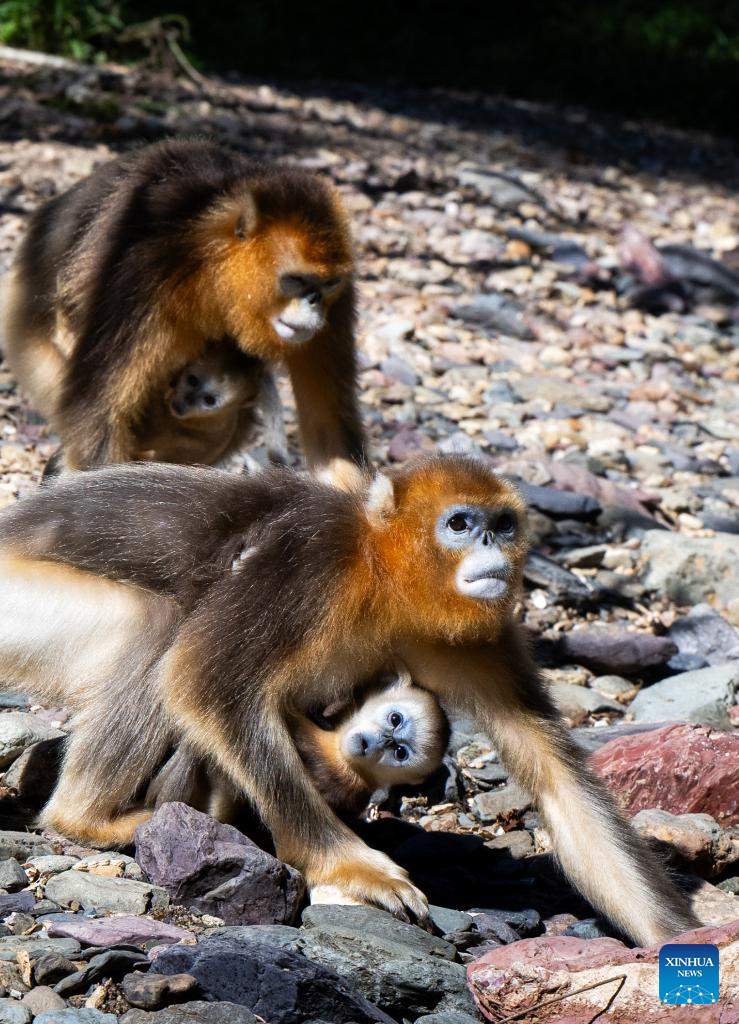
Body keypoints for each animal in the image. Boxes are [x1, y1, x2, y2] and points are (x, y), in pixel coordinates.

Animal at [0, 456, 696, 942]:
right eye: (460, 524)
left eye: (503, 526)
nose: (493, 552)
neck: (377, 573)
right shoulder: (309, 561)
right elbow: (205, 681)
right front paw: (351, 868)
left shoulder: (475, 634)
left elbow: (559, 782)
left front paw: (685, 941)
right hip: (23, 599)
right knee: (159, 622)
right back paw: (87, 819)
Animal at [2, 137, 362, 471]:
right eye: (296, 280)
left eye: (328, 284)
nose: (314, 301)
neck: (216, 272)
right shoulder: (151, 263)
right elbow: (96, 423)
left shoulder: (341, 297)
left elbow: (330, 433)